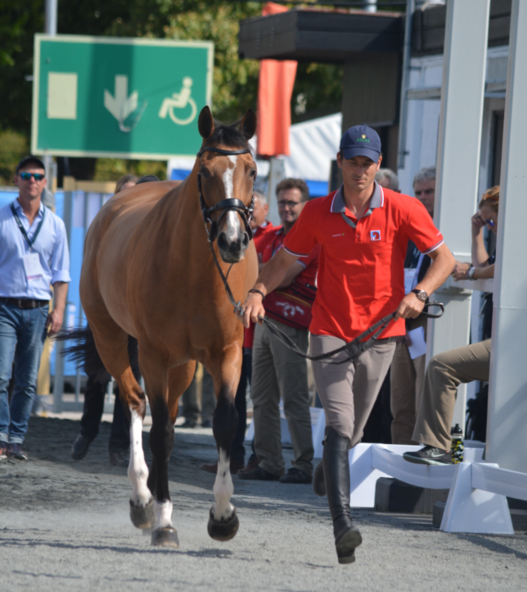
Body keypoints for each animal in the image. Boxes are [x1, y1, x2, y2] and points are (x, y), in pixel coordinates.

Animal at [79, 105, 258, 544]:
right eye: (205, 171)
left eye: (251, 170)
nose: (232, 242)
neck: (195, 271)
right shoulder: (154, 355)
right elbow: (157, 431)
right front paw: (162, 520)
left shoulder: (227, 353)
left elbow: (225, 423)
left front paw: (223, 515)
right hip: (113, 340)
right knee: (135, 402)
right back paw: (142, 499)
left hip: (185, 366)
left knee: (169, 420)